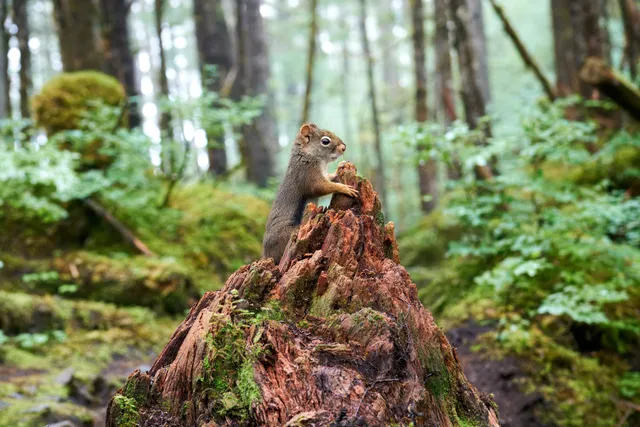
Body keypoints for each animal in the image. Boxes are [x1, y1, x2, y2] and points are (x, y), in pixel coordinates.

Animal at [262, 123, 358, 263]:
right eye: (325, 141)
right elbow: (322, 187)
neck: (308, 156)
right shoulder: (307, 175)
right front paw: (344, 188)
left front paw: (340, 167)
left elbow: (329, 178)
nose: (344, 147)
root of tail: (267, 253)